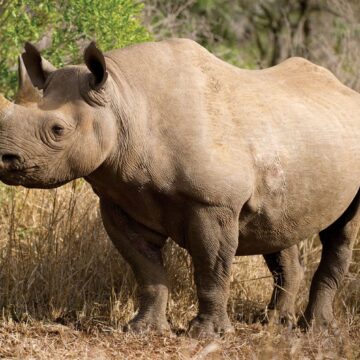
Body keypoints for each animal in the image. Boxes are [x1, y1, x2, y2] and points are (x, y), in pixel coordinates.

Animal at [0, 39, 358, 338]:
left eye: (58, 130)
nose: (4, 157)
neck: (123, 101)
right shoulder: (121, 200)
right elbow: (146, 268)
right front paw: (143, 329)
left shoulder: (213, 203)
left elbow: (211, 269)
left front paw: (208, 335)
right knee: (279, 228)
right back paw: (274, 323)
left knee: (341, 233)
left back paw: (317, 330)